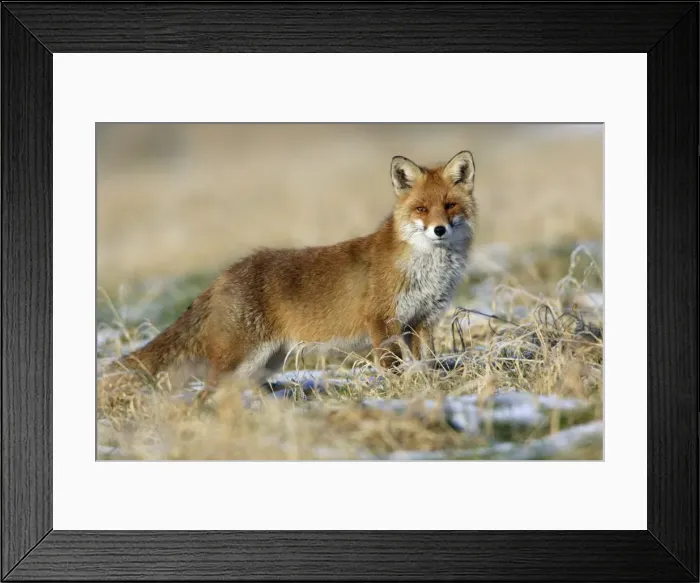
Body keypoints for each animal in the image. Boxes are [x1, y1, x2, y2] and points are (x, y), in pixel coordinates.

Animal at [102, 150, 477, 394]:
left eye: (450, 206)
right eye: (421, 209)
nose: (439, 230)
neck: (427, 270)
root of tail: (224, 275)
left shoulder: (422, 321)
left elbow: (426, 363)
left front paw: (430, 387)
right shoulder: (382, 321)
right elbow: (394, 368)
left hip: (264, 363)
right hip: (241, 360)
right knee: (205, 396)